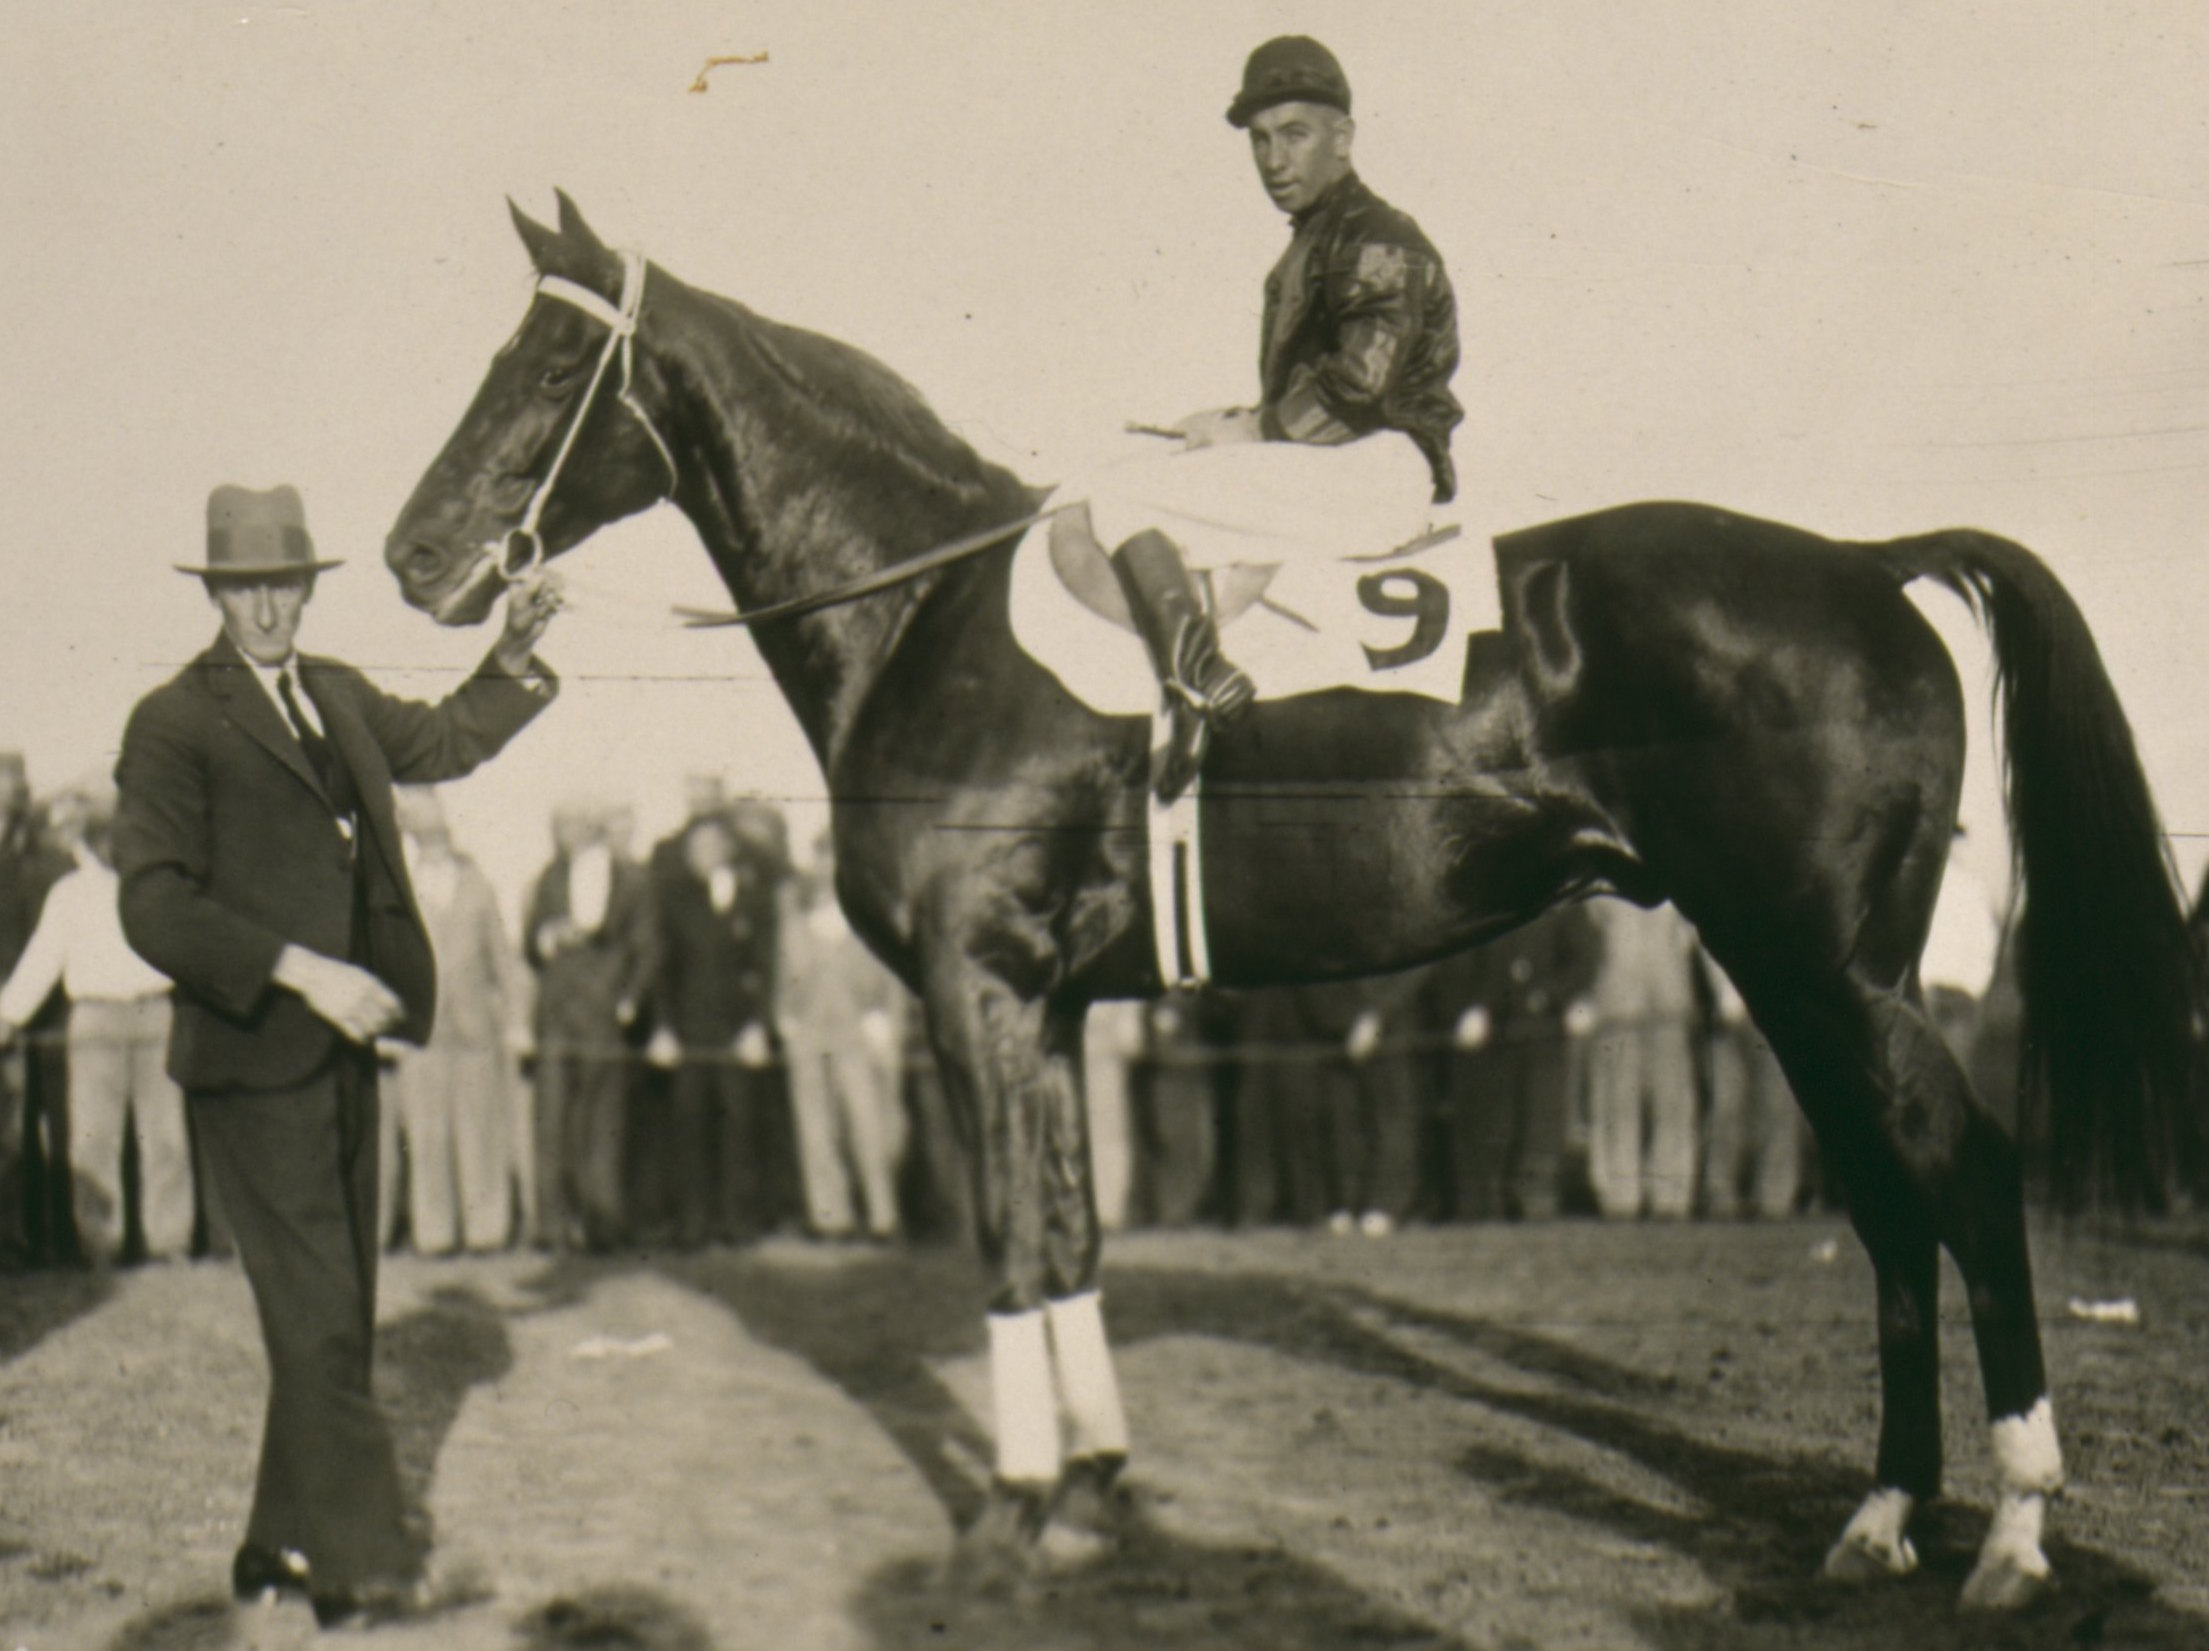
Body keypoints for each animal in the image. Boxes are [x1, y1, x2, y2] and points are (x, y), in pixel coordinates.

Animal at [388, 196, 2200, 1617]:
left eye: (542, 369)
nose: (413, 555)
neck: (926, 616)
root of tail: (1861, 562)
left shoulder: (977, 991)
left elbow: (1006, 1237)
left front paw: (1011, 1514)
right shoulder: (1047, 1004)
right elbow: (1069, 1230)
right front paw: (1092, 1494)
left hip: (1831, 968)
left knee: (1964, 1170)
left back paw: (2014, 1532)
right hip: (1792, 971)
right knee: (1887, 1201)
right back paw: (1881, 1516)